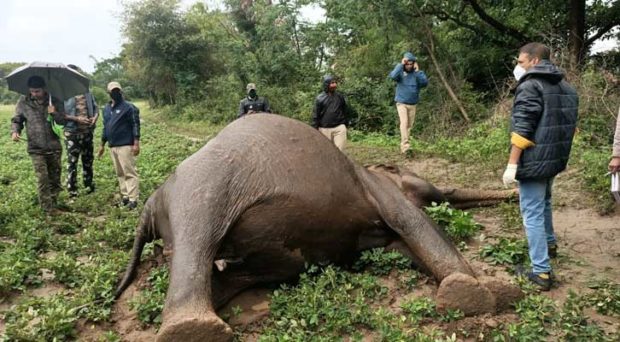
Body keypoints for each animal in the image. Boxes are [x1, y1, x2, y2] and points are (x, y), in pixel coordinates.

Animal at [115, 113, 520, 340]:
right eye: (408, 173)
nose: (515, 191)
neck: (370, 168)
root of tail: (151, 203)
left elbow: (400, 243)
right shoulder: (379, 189)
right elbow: (412, 220)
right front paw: (488, 293)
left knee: (276, 263)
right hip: (201, 188)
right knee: (198, 238)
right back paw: (195, 330)